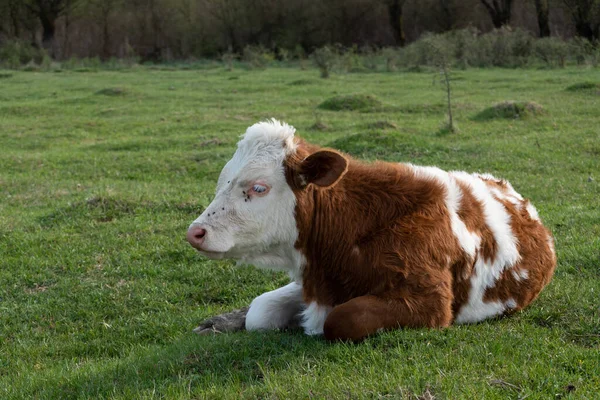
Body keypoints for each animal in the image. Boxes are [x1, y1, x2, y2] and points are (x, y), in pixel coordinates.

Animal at [189, 119, 556, 340]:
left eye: (259, 188)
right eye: (223, 180)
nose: (196, 232)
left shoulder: (432, 303)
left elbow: (343, 318)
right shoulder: (317, 280)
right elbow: (261, 311)